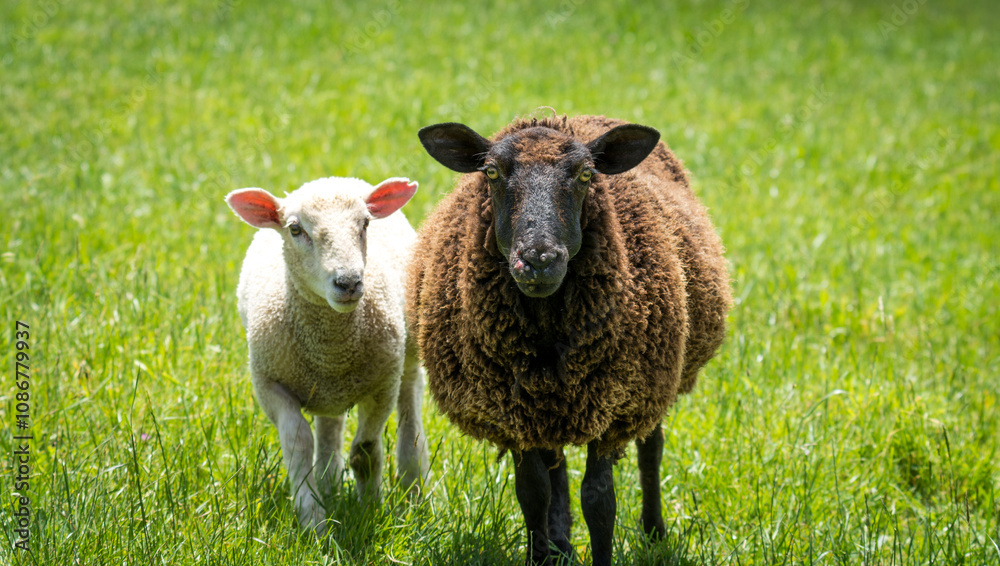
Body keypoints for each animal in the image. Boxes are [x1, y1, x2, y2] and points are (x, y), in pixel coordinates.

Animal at [226, 176, 429, 536]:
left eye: (365, 224)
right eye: (295, 229)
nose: (348, 282)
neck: (331, 348)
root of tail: (333, 178)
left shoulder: (382, 385)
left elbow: (364, 452)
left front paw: (370, 509)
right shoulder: (270, 385)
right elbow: (298, 445)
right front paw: (314, 522)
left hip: (405, 358)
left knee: (410, 418)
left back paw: (413, 491)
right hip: (326, 389)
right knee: (330, 427)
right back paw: (328, 483)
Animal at [408, 114, 732, 565]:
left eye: (585, 174)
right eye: (490, 172)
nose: (539, 259)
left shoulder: (615, 405)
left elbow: (599, 501)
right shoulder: (515, 414)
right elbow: (533, 493)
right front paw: (539, 556)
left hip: (653, 385)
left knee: (651, 449)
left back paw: (654, 533)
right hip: (548, 406)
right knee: (555, 465)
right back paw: (560, 546)